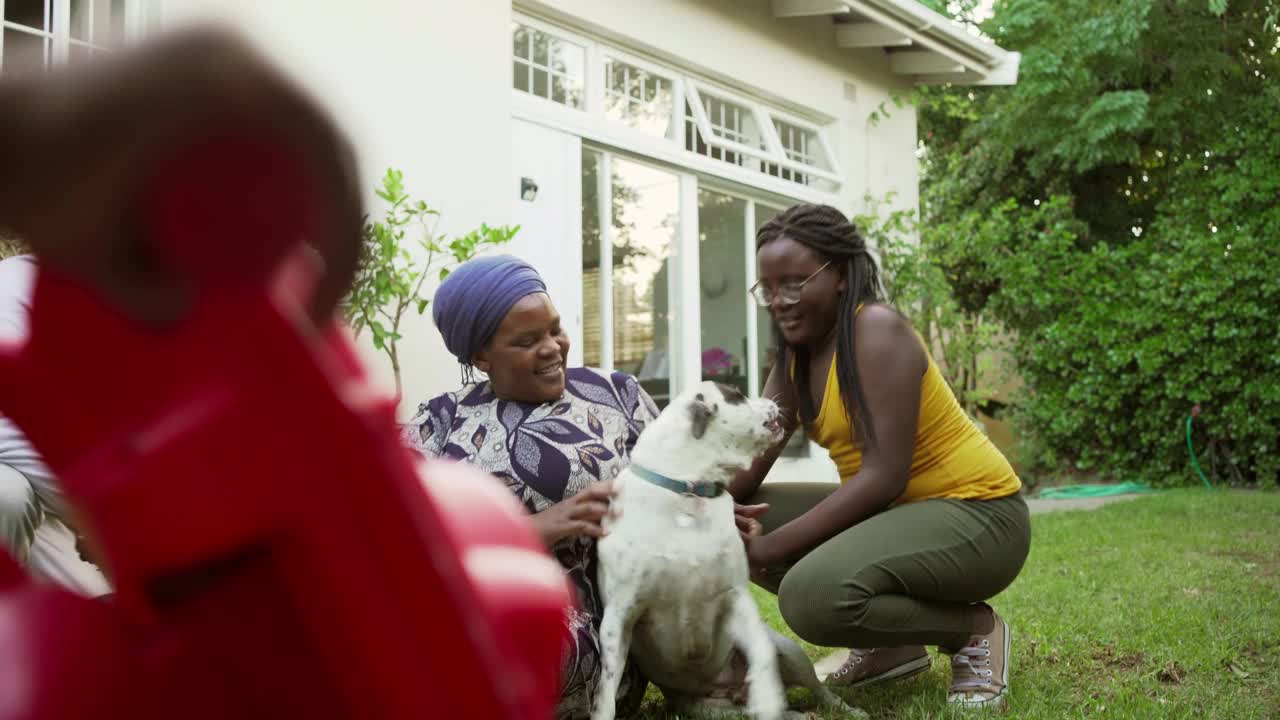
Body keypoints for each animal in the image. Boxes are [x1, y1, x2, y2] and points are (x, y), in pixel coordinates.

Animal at [586, 379, 865, 712]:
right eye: (738, 395)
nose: (773, 400)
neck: (688, 493)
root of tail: (727, 689)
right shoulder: (619, 617)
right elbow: (606, 690)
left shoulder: (736, 597)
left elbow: (762, 655)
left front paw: (768, 692)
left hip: (791, 652)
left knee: (817, 689)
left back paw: (842, 709)